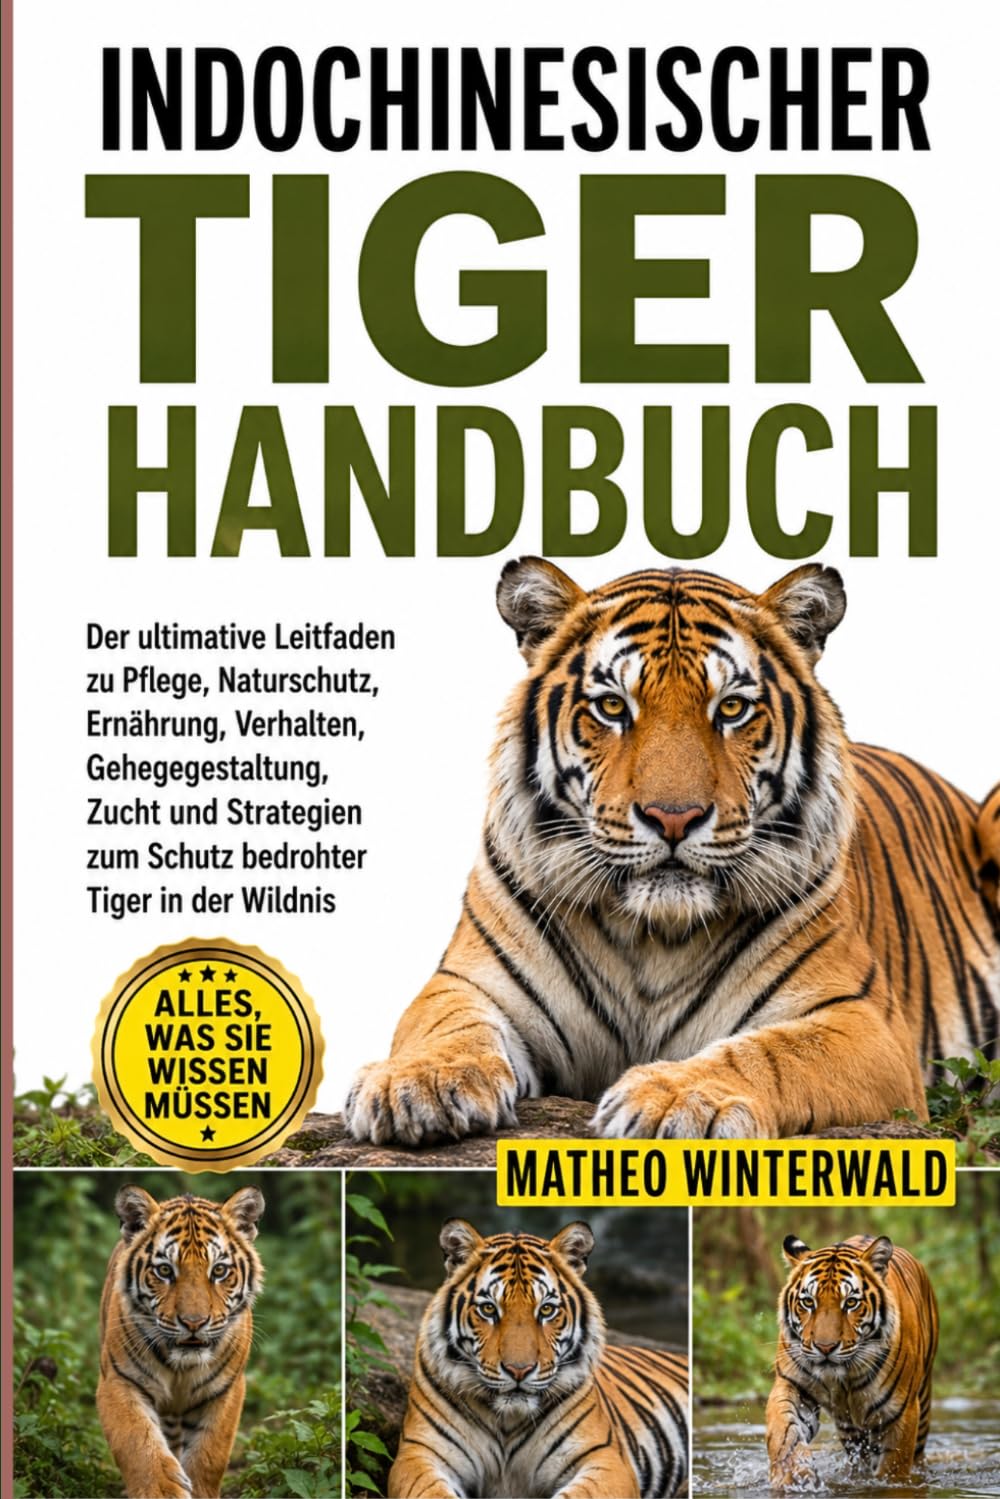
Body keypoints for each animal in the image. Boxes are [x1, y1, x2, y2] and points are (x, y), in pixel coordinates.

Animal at [96, 1184, 264, 1499]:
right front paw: (162, 1491)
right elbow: (137, 1444)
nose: (194, 1323)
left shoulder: (225, 1390)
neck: (181, 1368)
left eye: (219, 1271)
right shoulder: (118, 1381)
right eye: (164, 1271)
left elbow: (209, 1455)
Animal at [346, 558, 1000, 1143]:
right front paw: (419, 1084)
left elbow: (774, 1052)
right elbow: (445, 1026)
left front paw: (678, 1098)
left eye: (731, 708)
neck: (653, 936)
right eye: (613, 706)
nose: (673, 817)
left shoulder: (862, 1021)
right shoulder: (467, 981)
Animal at [389, 1219, 689, 1499]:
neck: (507, 1423)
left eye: (546, 1310)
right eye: (488, 1309)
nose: (518, 1371)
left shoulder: (605, 1459)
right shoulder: (418, 1455)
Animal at [766, 1233, 938, 1487]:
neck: (842, 1379)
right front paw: (792, 1475)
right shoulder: (793, 1385)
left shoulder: (901, 1412)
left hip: (922, 1407)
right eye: (808, 1302)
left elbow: (893, 1467)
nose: (825, 1347)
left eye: (850, 1303)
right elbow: (784, 1432)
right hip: (850, 1429)